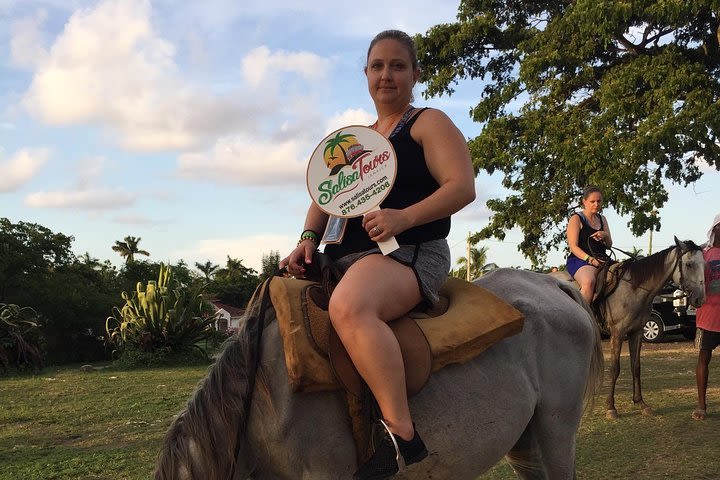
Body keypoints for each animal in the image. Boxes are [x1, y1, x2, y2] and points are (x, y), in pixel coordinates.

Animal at [552, 238, 704, 418]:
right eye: (689, 264)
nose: (699, 298)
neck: (634, 289)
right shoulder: (618, 333)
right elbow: (615, 368)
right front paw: (611, 407)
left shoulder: (636, 333)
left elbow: (636, 366)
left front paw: (640, 403)